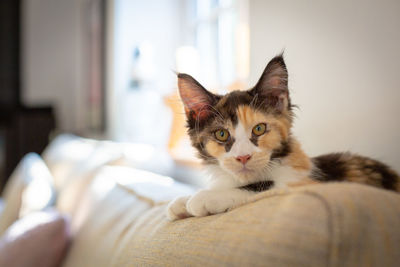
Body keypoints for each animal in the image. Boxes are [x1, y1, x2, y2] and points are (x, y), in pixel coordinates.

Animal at [166, 54, 400, 222]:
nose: (243, 157)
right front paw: (182, 202)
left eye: (259, 129)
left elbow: (266, 184)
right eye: (222, 134)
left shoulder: (307, 181)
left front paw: (204, 197)